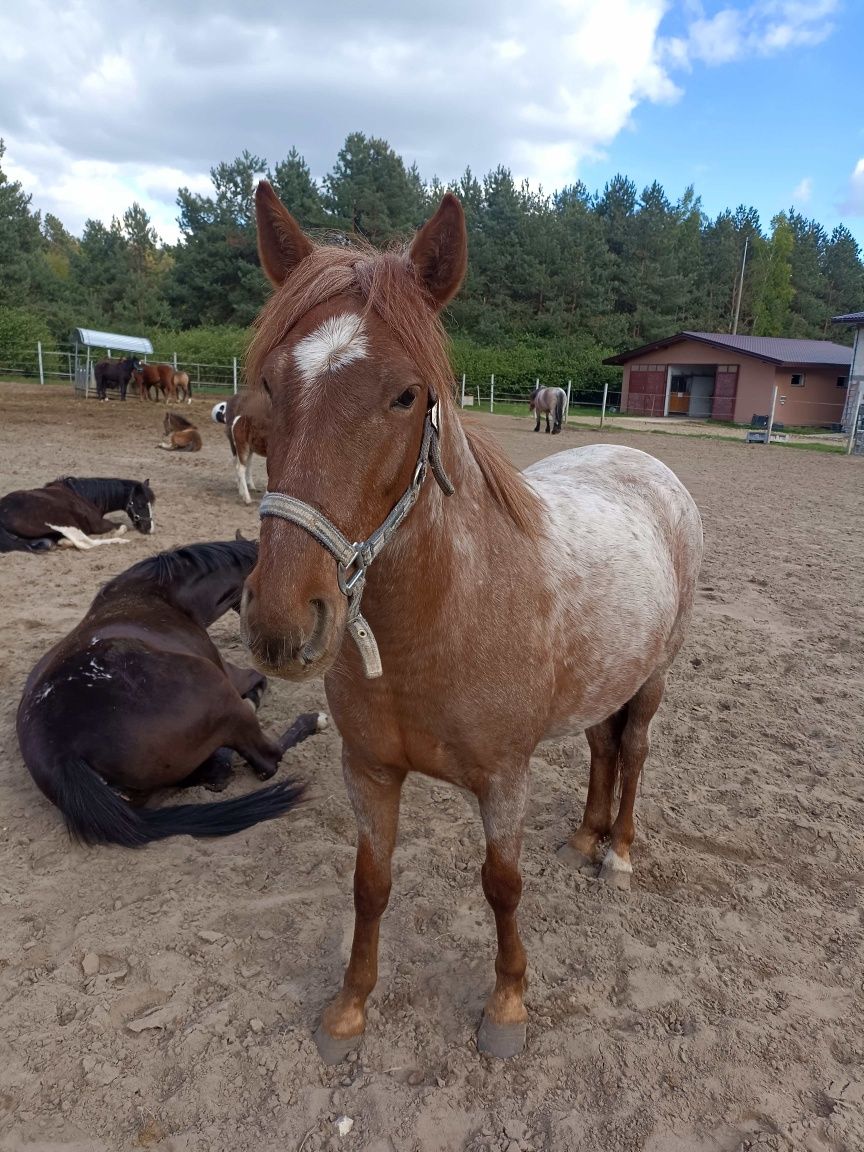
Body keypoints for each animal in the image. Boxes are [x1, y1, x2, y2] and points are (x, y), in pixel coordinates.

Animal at [0, 474, 155, 550]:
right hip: (67, 523)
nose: (150, 528)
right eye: (140, 504)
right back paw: (120, 541)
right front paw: (117, 534)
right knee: (85, 543)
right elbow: (122, 526)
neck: (82, 495)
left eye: (151, 504)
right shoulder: (98, 525)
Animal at [16, 536, 327, 847]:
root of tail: (62, 753)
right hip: (223, 697)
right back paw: (311, 721)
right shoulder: (232, 675)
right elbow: (258, 680)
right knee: (265, 760)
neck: (164, 596)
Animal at [237, 182, 705, 1059]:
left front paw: (508, 1007)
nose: (283, 621)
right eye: (271, 387)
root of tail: (645, 460)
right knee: (601, 747)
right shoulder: (368, 770)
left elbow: (502, 885)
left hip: (653, 679)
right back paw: (585, 836)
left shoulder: (502, 779)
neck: (440, 618)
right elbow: (370, 882)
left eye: (406, 394)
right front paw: (350, 1008)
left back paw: (619, 853)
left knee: (635, 751)